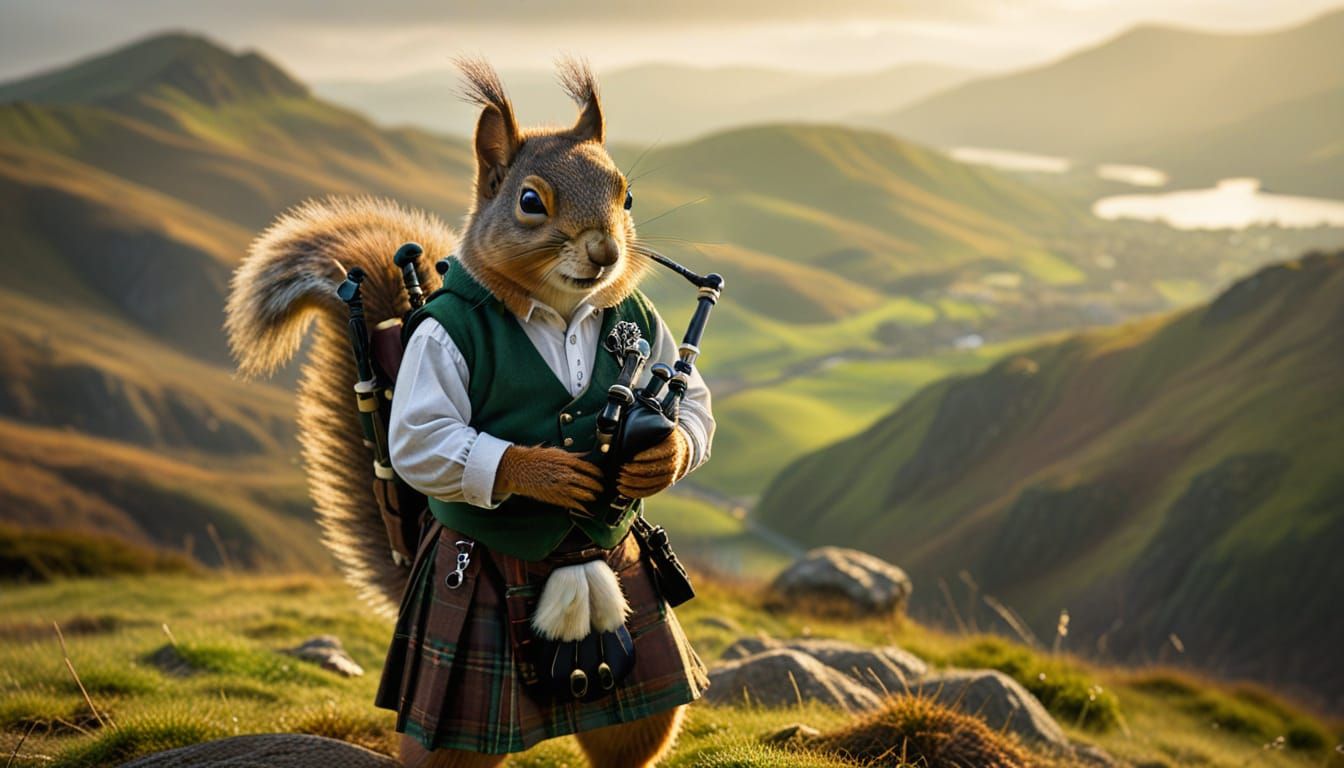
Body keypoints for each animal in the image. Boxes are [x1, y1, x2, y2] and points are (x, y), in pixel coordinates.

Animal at [226, 58, 713, 767]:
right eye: (530, 201)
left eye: (626, 197)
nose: (605, 254)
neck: (559, 310)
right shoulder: (435, 352)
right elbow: (430, 439)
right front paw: (549, 474)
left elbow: (694, 403)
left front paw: (664, 453)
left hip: (641, 688)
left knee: (633, 733)